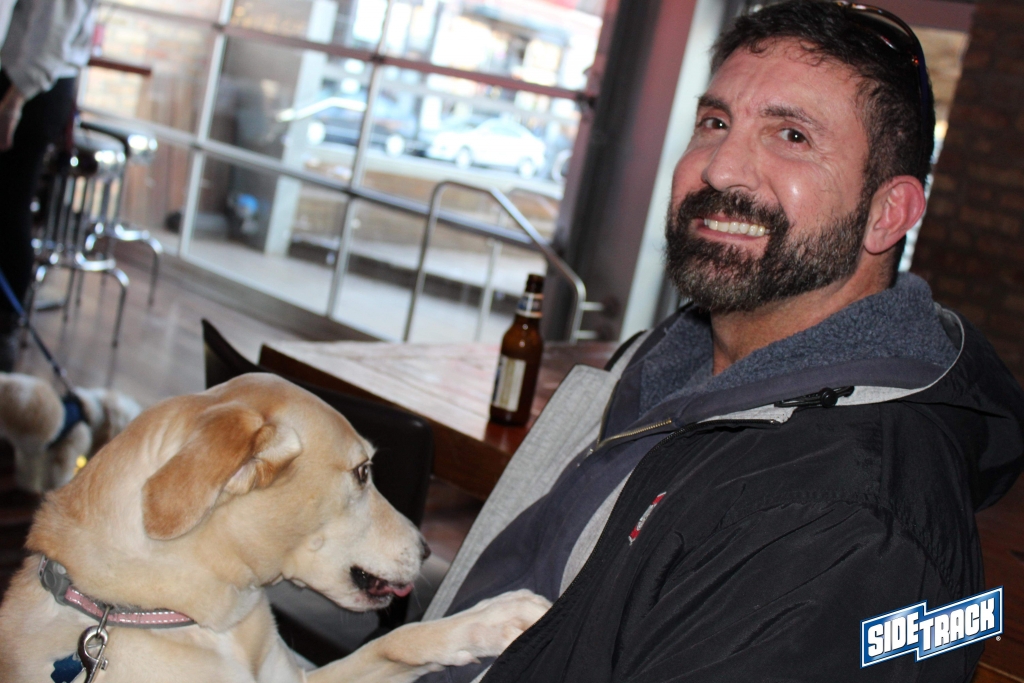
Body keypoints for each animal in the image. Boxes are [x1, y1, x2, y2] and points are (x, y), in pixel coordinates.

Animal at [0, 372, 142, 494]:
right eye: (128, 423)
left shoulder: (33, 454)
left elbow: (29, 473)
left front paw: (29, 488)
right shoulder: (65, 454)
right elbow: (59, 477)